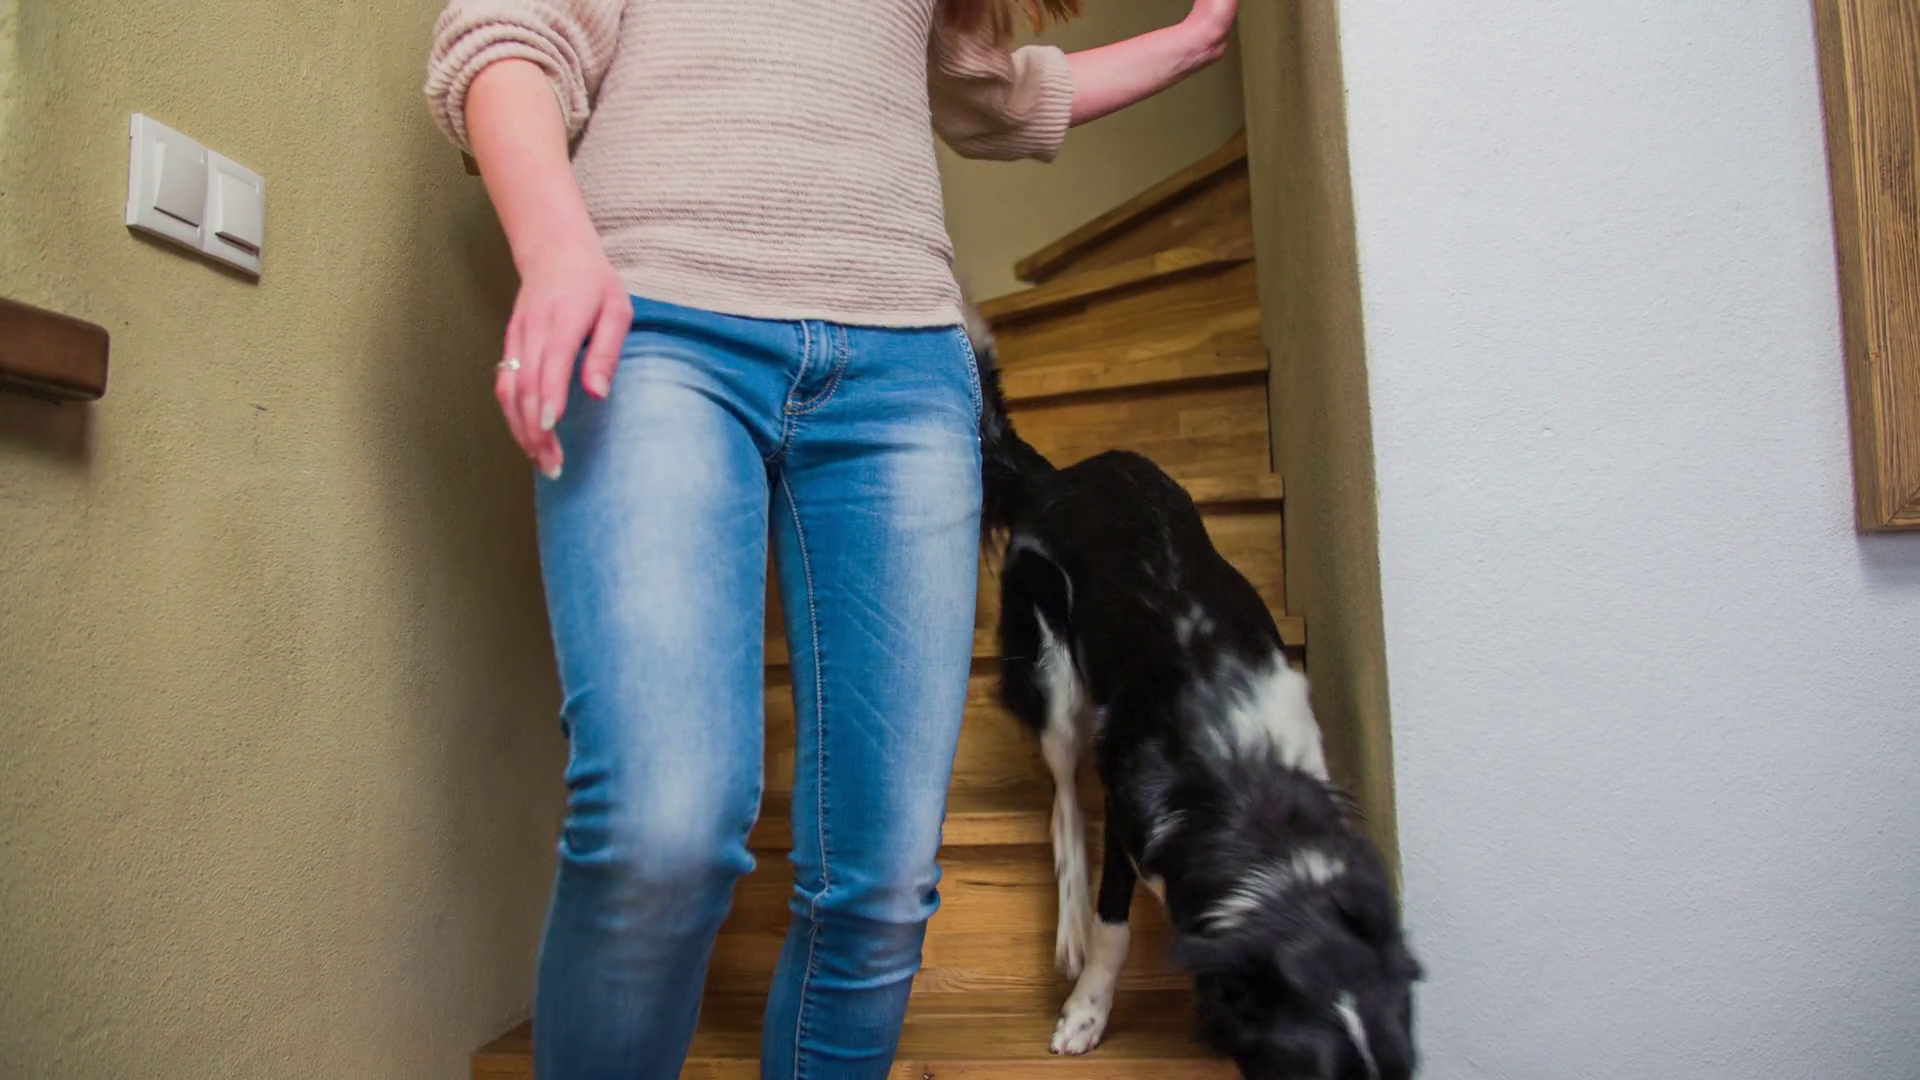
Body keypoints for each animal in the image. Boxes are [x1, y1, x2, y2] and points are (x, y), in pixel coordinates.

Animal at [965, 307, 1422, 1079]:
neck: (1247, 791)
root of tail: (1054, 480)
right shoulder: (1130, 819)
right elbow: (1113, 926)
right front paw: (1086, 1012)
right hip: (1053, 673)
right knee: (1062, 798)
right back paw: (1068, 916)